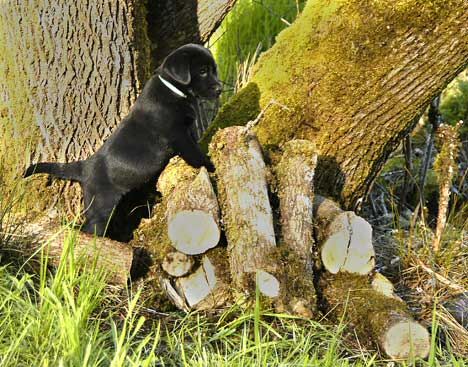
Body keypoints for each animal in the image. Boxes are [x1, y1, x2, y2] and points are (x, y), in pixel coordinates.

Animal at [24, 43, 222, 239]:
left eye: (214, 70)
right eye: (203, 71)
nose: (220, 89)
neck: (172, 90)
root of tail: (85, 166)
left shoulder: (187, 129)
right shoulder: (177, 134)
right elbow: (193, 153)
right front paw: (209, 166)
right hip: (101, 204)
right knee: (91, 226)